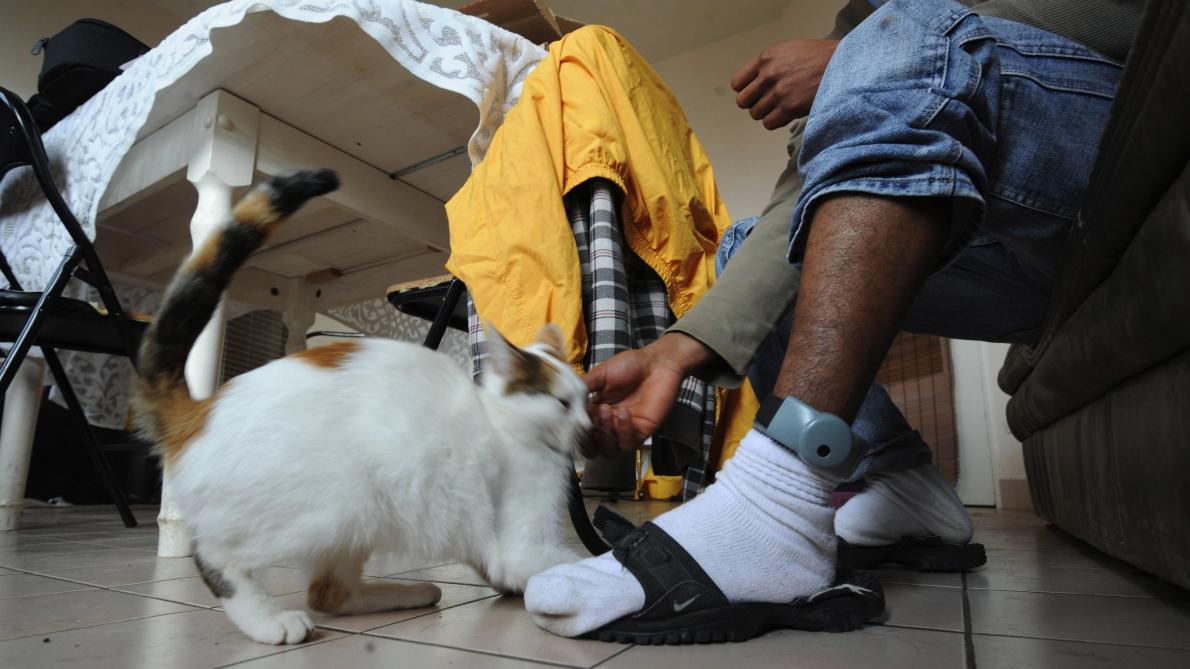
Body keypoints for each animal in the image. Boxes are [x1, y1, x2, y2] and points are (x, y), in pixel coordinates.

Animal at [133, 169, 590, 642]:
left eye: (585, 397)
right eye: (561, 402)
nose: (587, 423)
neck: (503, 425)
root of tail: (200, 410)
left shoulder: (493, 545)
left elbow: (503, 567)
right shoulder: (521, 538)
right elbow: (564, 563)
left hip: (358, 521)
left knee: (331, 594)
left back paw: (410, 593)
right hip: (329, 507)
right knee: (217, 557)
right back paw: (269, 621)